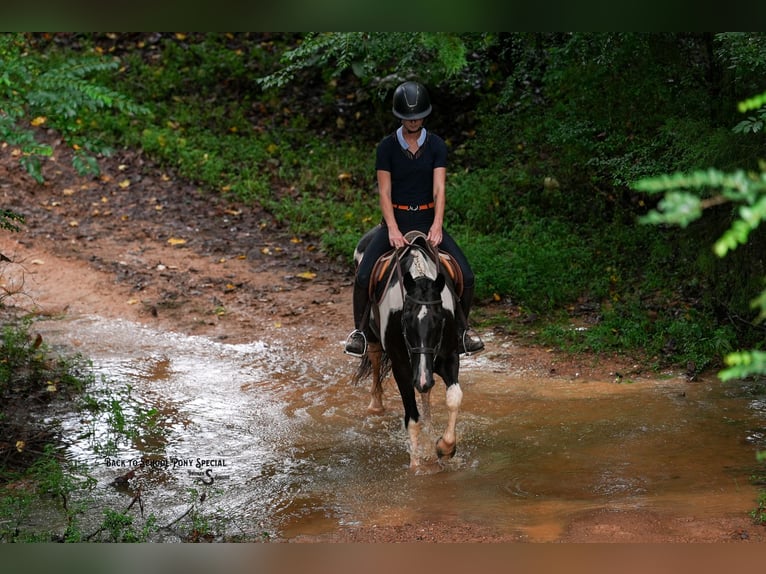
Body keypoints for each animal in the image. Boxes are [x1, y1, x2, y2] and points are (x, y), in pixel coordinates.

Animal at [352, 228, 463, 468]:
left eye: (439, 321)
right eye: (405, 321)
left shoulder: (448, 357)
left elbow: (454, 398)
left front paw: (443, 447)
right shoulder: (402, 366)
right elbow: (412, 417)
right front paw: (416, 466)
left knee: (426, 392)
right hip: (373, 336)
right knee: (375, 358)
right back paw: (376, 404)